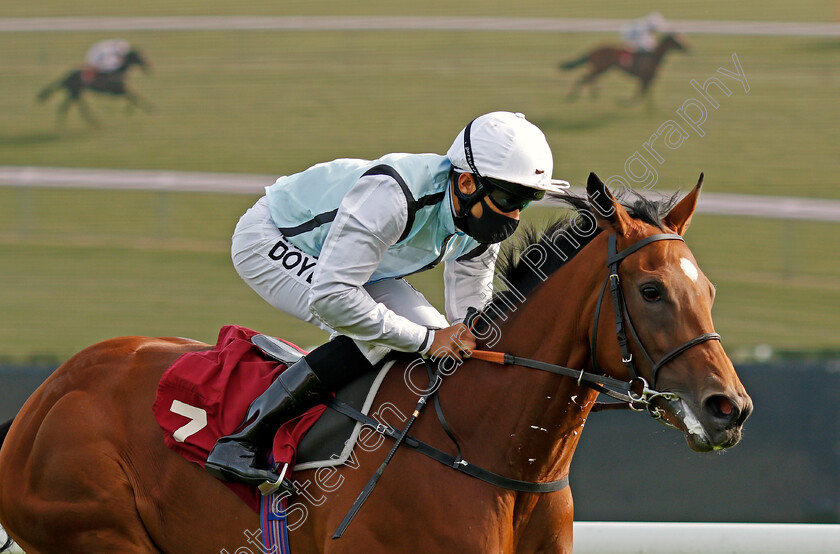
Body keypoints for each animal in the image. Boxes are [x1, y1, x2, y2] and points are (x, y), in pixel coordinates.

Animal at [0, 174, 752, 552]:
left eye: (711, 290)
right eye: (652, 291)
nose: (730, 407)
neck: (486, 453)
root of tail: (44, 397)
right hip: (95, 531)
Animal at [560, 33, 692, 102]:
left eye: (682, 37)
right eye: (677, 39)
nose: (688, 48)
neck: (653, 56)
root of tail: (593, 50)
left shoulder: (647, 79)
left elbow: (646, 95)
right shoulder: (644, 78)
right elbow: (639, 95)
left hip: (602, 68)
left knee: (589, 78)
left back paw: (593, 94)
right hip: (601, 67)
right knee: (585, 78)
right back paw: (573, 96)